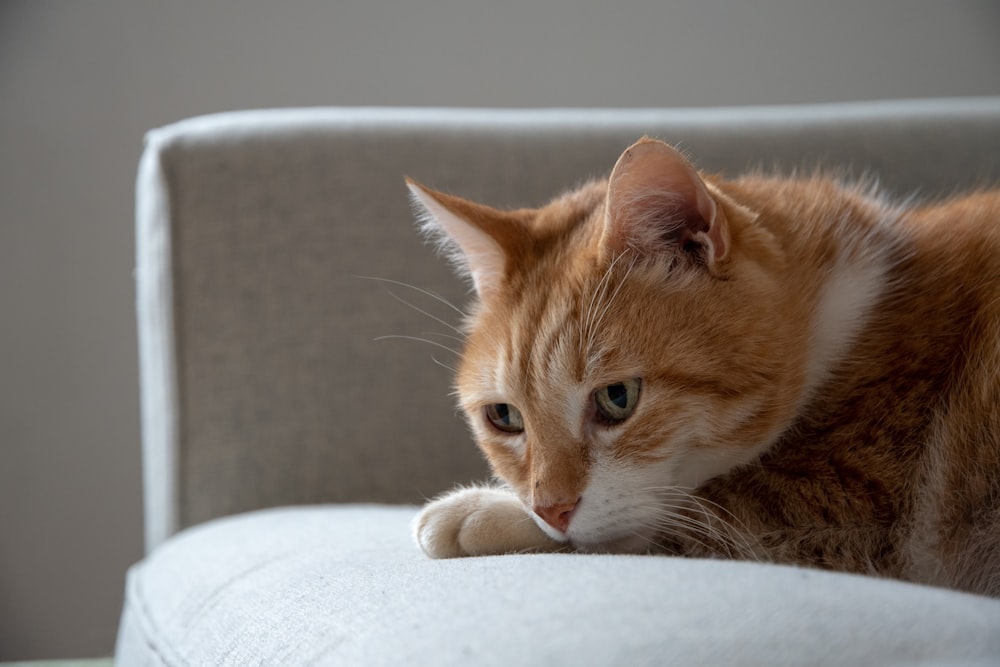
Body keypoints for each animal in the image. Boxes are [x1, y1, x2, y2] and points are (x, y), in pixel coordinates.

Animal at [404, 138, 1000, 596]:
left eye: (618, 398)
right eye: (505, 417)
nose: (551, 510)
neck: (852, 315)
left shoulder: (838, 505)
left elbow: (670, 517)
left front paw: (477, 512)